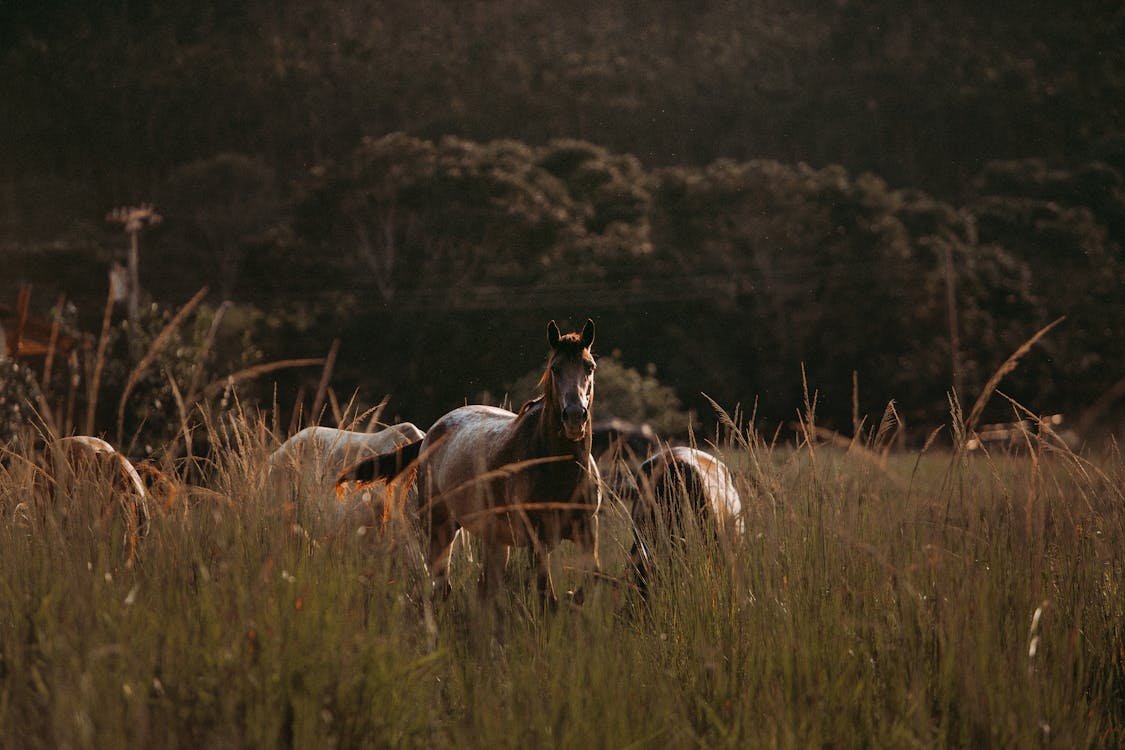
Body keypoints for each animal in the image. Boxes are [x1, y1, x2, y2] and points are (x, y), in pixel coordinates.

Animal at [416, 319, 607, 602]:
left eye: (589, 366)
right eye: (555, 368)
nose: (574, 416)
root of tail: (431, 432)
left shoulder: (587, 529)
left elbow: (592, 578)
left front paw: (573, 596)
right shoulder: (536, 538)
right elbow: (546, 597)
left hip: (494, 541)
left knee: (485, 589)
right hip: (440, 529)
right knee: (442, 586)